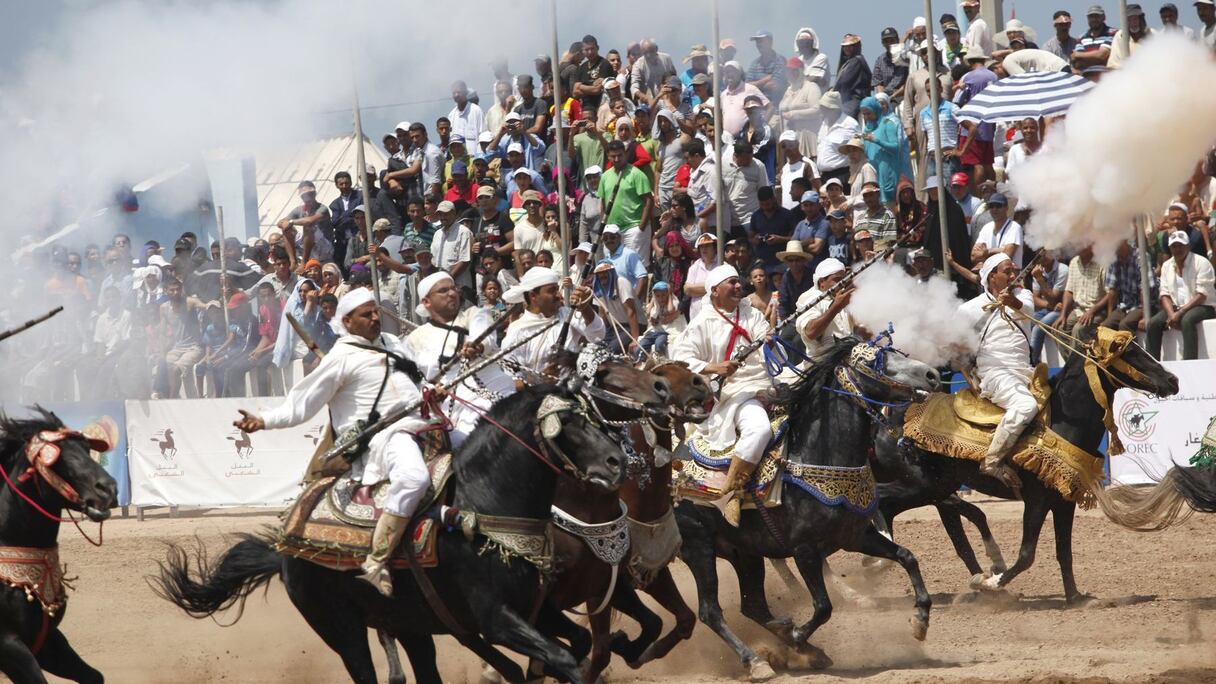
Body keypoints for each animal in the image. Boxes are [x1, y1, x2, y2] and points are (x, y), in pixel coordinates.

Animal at [0, 406, 117, 676]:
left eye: (87, 448)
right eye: (54, 457)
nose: (109, 489)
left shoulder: (46, 641)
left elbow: (94, 676)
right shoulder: (9, 645)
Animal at [676, 335, 938, 676]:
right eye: (874, 361)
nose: (933, 374)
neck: (819, 454)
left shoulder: (856, 538)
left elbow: (908, 557)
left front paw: (920, 620)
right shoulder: (805, 550)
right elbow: (824, 606)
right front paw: (799, 636)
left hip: (744, 552)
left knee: (753, 606)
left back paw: (799, 646)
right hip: (699, 547)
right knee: (710, 611)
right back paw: (758, 661)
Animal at [875, 328, 1177, 598]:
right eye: (1128, 352)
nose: (1172, 379)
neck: (1061, 423)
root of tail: (889, 419)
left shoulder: (1064, 500)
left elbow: (1064, 551)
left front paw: (1075, 597)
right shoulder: (1037, 500)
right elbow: (1026, 555)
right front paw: (992, 582)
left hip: (936, 489)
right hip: (921, 486)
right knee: (881, 500)